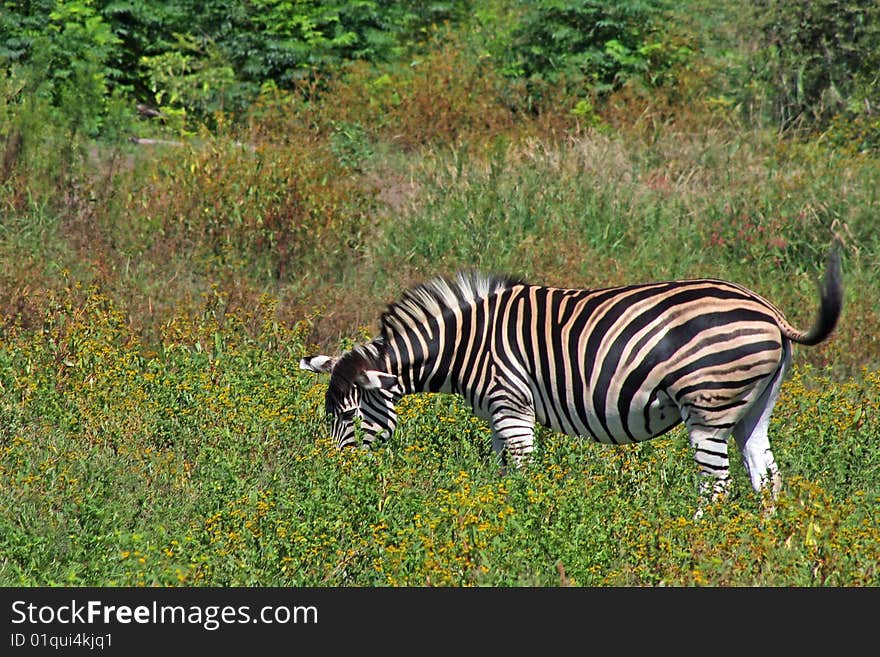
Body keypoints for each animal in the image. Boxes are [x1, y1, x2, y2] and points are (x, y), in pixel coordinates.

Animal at [300, 247, 844, 502]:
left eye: (346, 417)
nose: (332, 478)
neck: (463, 346)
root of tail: (770, 311)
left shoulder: (511, 405)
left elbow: (521, 472)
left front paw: (523, 526)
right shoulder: (498, 414)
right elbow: (499, 471)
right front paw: (496, 514)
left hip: (708, 404)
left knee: (715, 487)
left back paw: (697, 541)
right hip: (754, 405)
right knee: (766, 478)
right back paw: (766, 546)